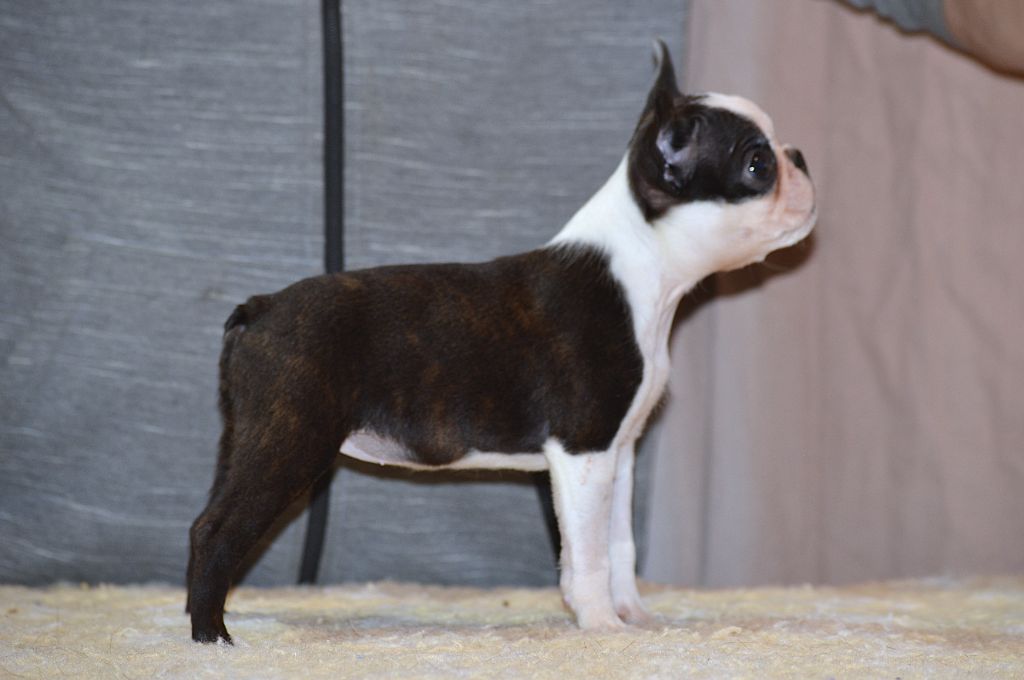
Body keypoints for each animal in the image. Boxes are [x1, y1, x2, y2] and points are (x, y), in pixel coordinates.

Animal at [187, 40, 816, 643]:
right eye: (758, 163)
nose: (800, 156)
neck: (644, 268)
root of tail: (261, 307)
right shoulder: (584, 450)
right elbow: (587, 552)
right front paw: (601, 628)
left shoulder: (619, 453)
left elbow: (619, 544)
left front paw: (635, 618)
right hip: (290, 439)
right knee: (217, 531)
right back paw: (211, 638)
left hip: (249, 437)